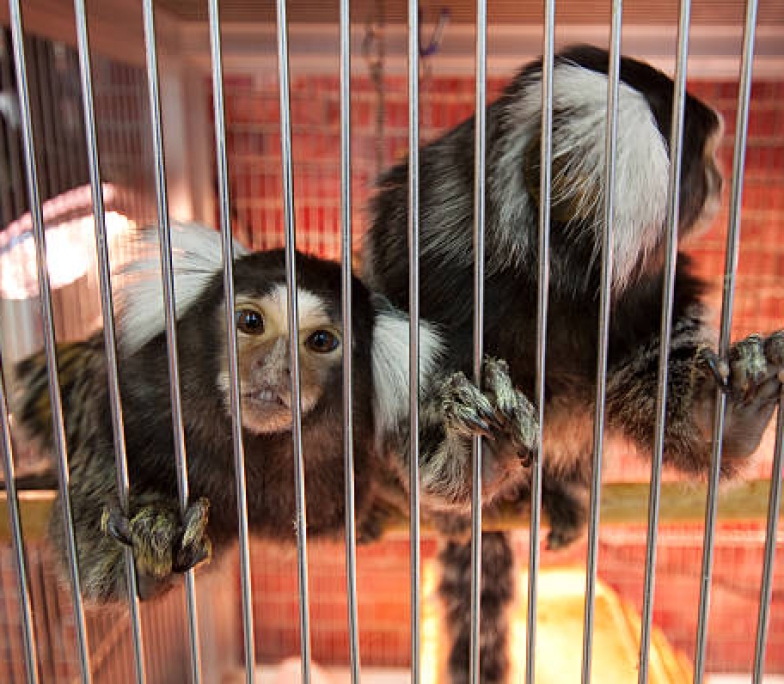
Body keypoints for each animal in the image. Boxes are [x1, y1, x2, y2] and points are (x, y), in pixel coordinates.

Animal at [9, 221, 539, 604]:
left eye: (321, 341)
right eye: (250, 322)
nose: (275, 369)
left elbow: (443, 478)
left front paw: (486, 440)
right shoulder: (127, 409)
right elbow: (92, 566)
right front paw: (145, 542)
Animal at [364, 45, 784, 683]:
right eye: (704, 159)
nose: (719, 181)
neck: (546, 279)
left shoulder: (645, 293)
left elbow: (649, 379)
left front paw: (724, 419)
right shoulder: (429, 270)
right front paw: (476, 454)